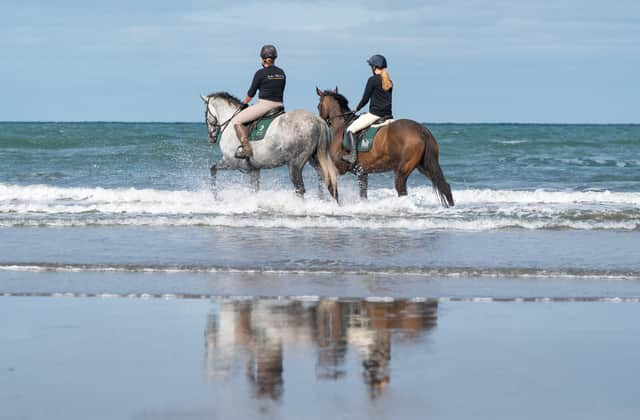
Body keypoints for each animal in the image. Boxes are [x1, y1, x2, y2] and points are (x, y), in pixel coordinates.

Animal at [202, 92, 338, 201]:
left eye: (205, 113)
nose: (211, 138)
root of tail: (319, 121)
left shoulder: (230, 162)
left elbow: (212, 169)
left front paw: (215, 196)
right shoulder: (254, 169)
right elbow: (255, 189)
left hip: (295, 164)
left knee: (300, 189)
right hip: (315, 160)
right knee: (327, 183)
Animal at [316, 88, 456, 207]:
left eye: (319, 105)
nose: (322, 121)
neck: (341, 126)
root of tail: (421, 130)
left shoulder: (339, 168)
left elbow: (328, 184)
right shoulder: (362, 172)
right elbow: (362, 194)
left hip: (402, 171)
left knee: (402, 191)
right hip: (424, 166)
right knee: (445, 186)